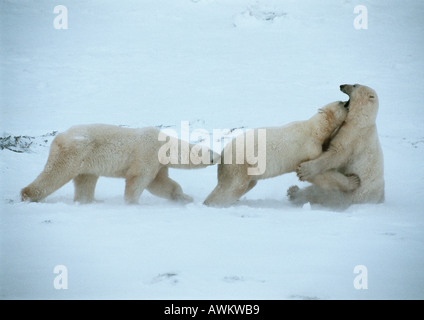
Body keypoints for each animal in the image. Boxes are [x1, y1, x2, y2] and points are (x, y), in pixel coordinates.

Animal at [22, 124, 222, 204]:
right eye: (212, 153)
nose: (219, 156)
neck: (164, 145)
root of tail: (60, 137)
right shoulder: (146, 153)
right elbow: (138, 179)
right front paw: (132, 203)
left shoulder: (158, 164)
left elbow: (160, 184)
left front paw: (183, 197)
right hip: (73, 153)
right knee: (55, 174)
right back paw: (28, 195)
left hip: (86, 161)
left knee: (86, 180)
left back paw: (90, 201)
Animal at [203, 99, 352, 208]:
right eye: (341, 103)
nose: (348, 101)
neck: (314, 130)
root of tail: (224, 153)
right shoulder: (308, 148)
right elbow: (317, 171)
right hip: (240, 165)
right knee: (232, 188)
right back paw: (211, 203)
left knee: (248, 184)